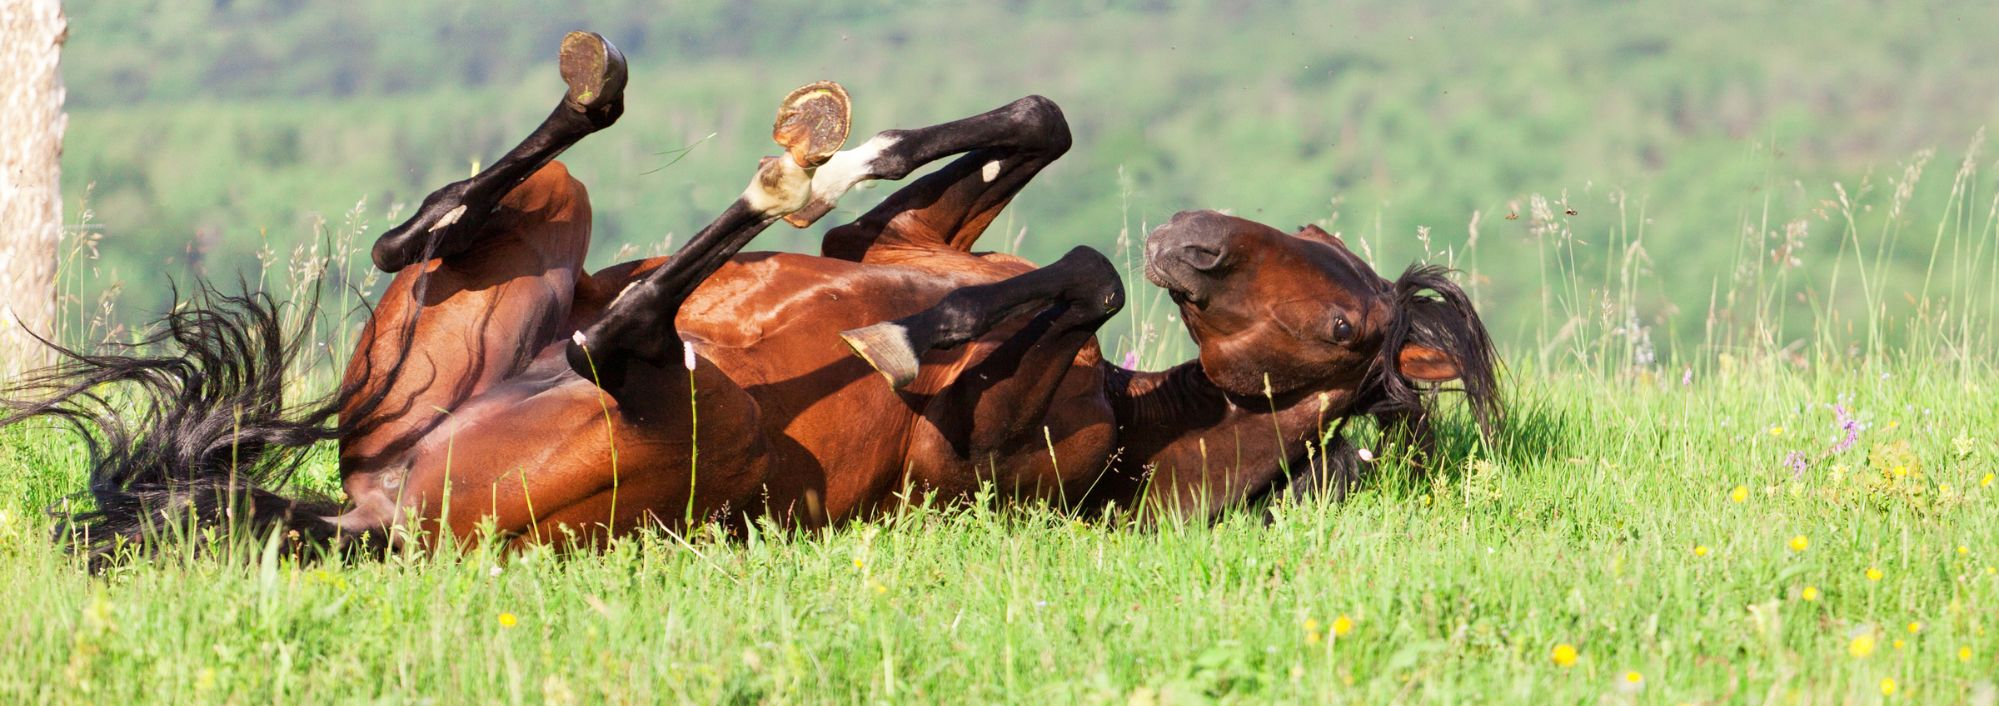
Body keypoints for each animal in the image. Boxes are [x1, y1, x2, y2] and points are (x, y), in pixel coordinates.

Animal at [4, 32, 1499, 569]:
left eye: (1348, 330)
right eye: (1304, 240)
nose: (1192, 238)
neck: (1130, 427)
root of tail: (369, 513)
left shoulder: (997, 451)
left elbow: (1076, 276)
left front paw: (895, 323)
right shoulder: (914, 234)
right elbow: (1031, 127)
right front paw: (851, 160)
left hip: (662, 411)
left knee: (614, 330)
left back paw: (750, 183)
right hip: (526, 252)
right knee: (422, 231)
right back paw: (645, 106)